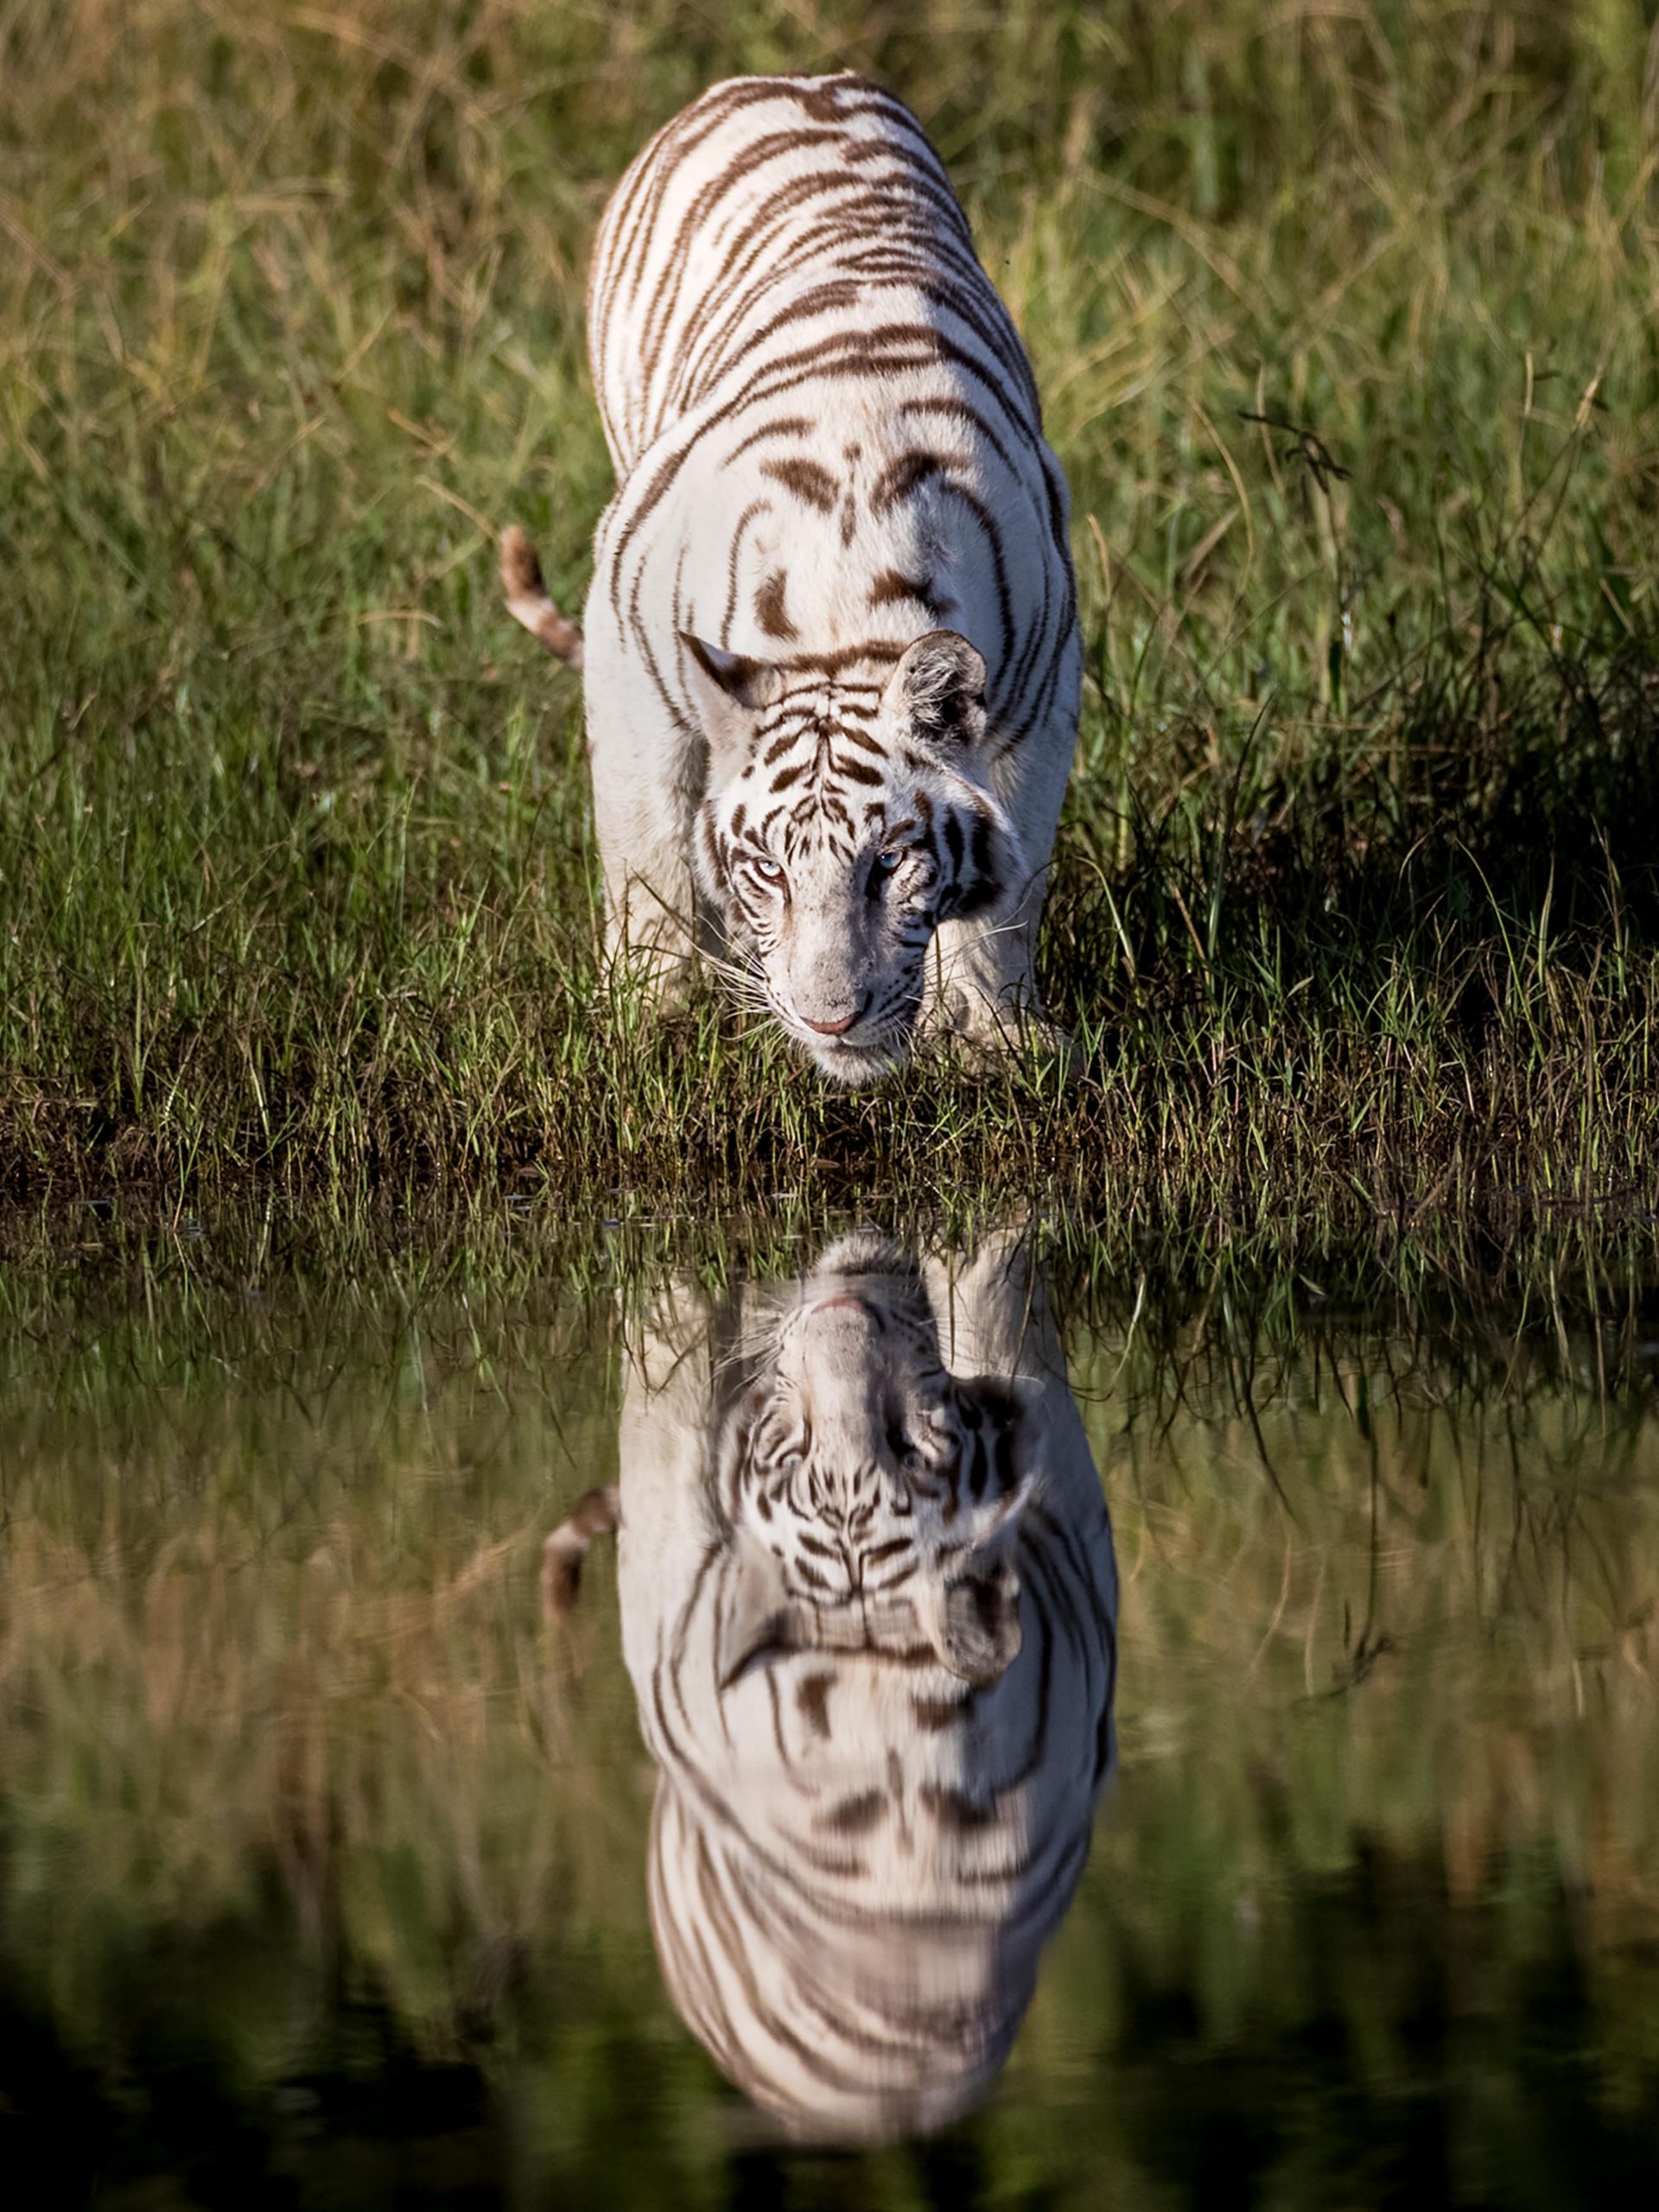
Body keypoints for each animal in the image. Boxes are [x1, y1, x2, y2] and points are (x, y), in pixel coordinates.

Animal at [499, 67, 1084, 1071]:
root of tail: (801, 77)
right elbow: (646, 852)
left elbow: (1009, 900)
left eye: (889, 863)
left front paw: (991, 1038)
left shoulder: (1042, 693)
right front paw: (655, 1016)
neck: (847, 599)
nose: (830, 1019)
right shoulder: (627, 650)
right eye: (768, 867)